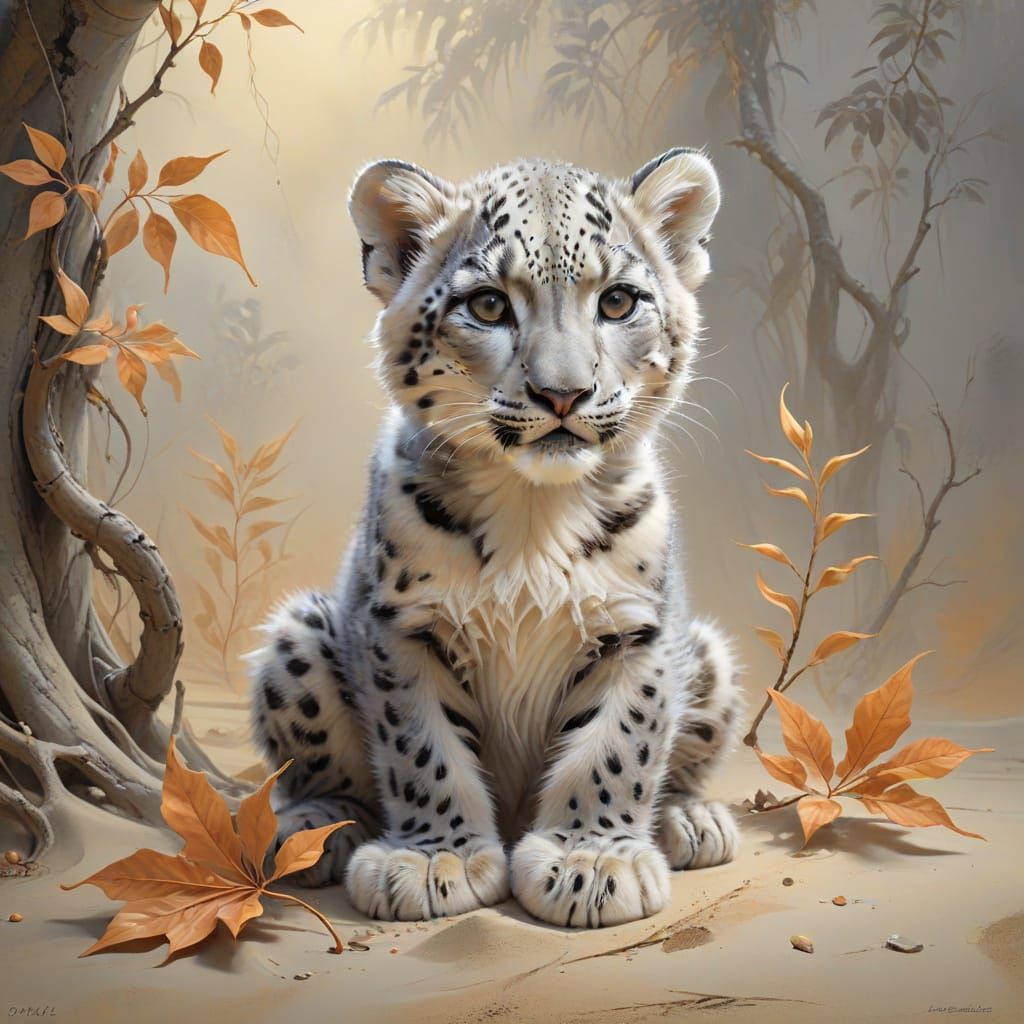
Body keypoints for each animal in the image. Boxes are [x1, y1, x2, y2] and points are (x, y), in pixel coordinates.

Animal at [246, 147, 744, 928]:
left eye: (618, 302)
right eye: (486, 305)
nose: (563, 393)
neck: (533, 514)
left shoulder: (636, 628)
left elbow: (616, 745)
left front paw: (591, 861)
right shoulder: (402, 626)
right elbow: (423, 748)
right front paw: (435, 859)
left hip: (707, 657)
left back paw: (690, 819)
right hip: (297, 638)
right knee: (315, 770)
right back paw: (319, 828)